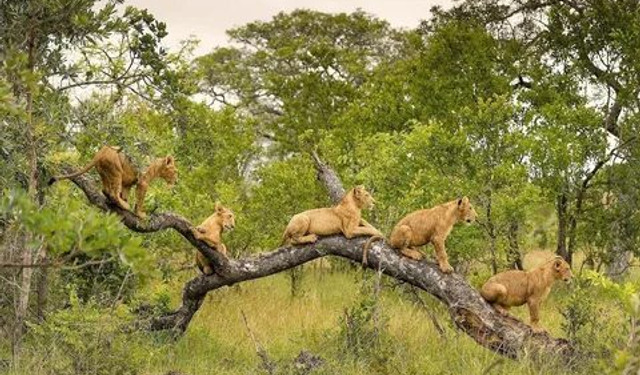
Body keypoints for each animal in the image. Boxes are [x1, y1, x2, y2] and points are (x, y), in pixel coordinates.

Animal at [48, 145, 178, 219]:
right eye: (175, 171)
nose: (176, 181)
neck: (157, 166)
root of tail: (100, 152)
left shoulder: (127, 183)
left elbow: (125, 193)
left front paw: (126, 200)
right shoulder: (143, 182)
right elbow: (140, 200)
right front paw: (139, 214)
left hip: (105, 173)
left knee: (106, 190)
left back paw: (115, 202)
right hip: (116, 172)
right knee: (114, 193)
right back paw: (123, 205)